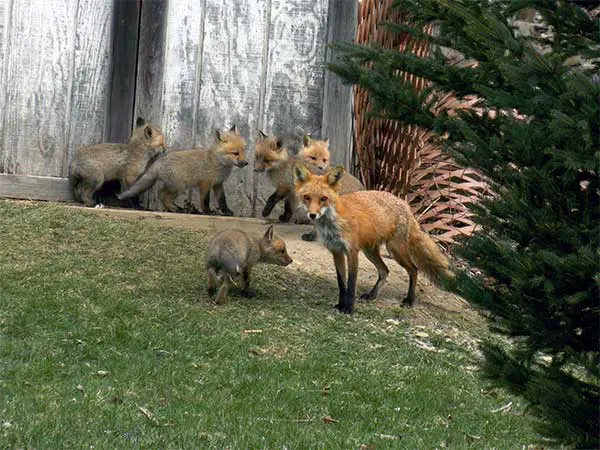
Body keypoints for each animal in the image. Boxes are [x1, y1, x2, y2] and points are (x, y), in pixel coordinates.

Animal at [292, 163, 452, 314]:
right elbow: (341, 282)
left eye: (323, 199)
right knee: (385, 271)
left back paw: (410, 300)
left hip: (395, 250)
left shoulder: (352, 251)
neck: (332, 223)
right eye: (306, 197)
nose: (312, 215)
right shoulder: (336, 251)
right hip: (370, 251)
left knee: (414, 270)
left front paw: (349, 308)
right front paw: (341, 305)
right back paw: (372, 294)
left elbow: (351, 282)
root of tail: (405, 205)